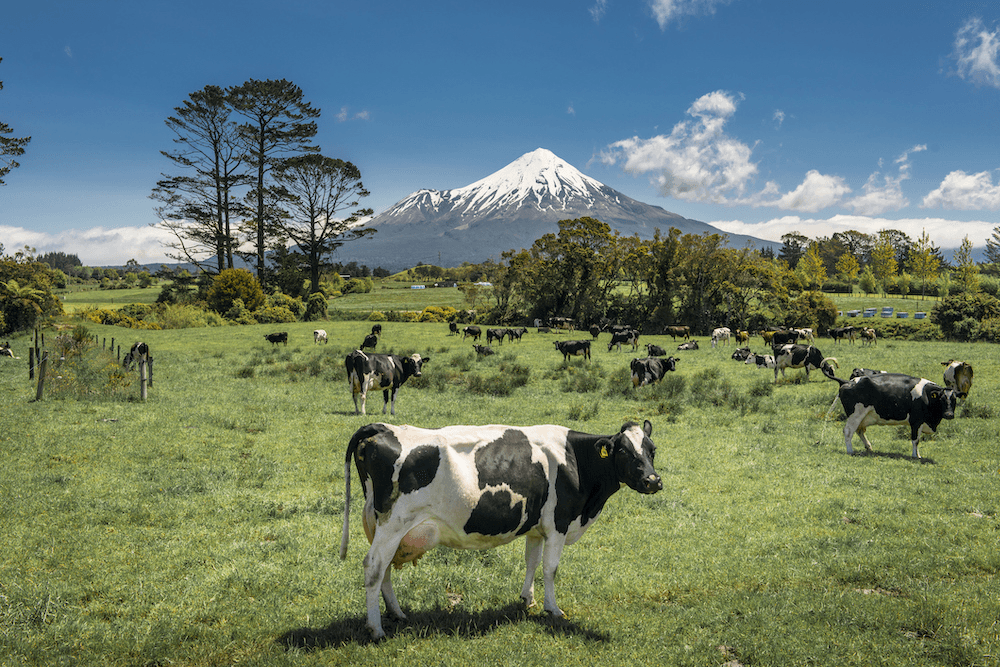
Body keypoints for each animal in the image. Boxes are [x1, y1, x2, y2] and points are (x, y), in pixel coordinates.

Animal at [340, 420, 663, 639]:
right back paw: (376, 628)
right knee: (374, 567)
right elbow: (550, 569)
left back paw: (397, 613)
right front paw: (553, 609)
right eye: (623, 451)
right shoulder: (558, 524)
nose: (653, 481)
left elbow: (531, 561)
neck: (575, 460)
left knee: (384, 569)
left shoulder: (536, 527)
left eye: (652, 450)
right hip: (393, 523)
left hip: (383, 527)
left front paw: (527, 599)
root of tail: (383, 427)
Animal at [826, 373, 958, 458]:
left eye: (954, 400)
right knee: (848, 431)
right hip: (855, 414)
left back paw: (869, 447)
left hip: (862, 416)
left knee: (859, 431)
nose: (949, 414)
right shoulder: (916, 421)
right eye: (941, 399)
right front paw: (915, 456)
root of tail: (849, 381)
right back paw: (850, 451)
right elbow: (915, 440)